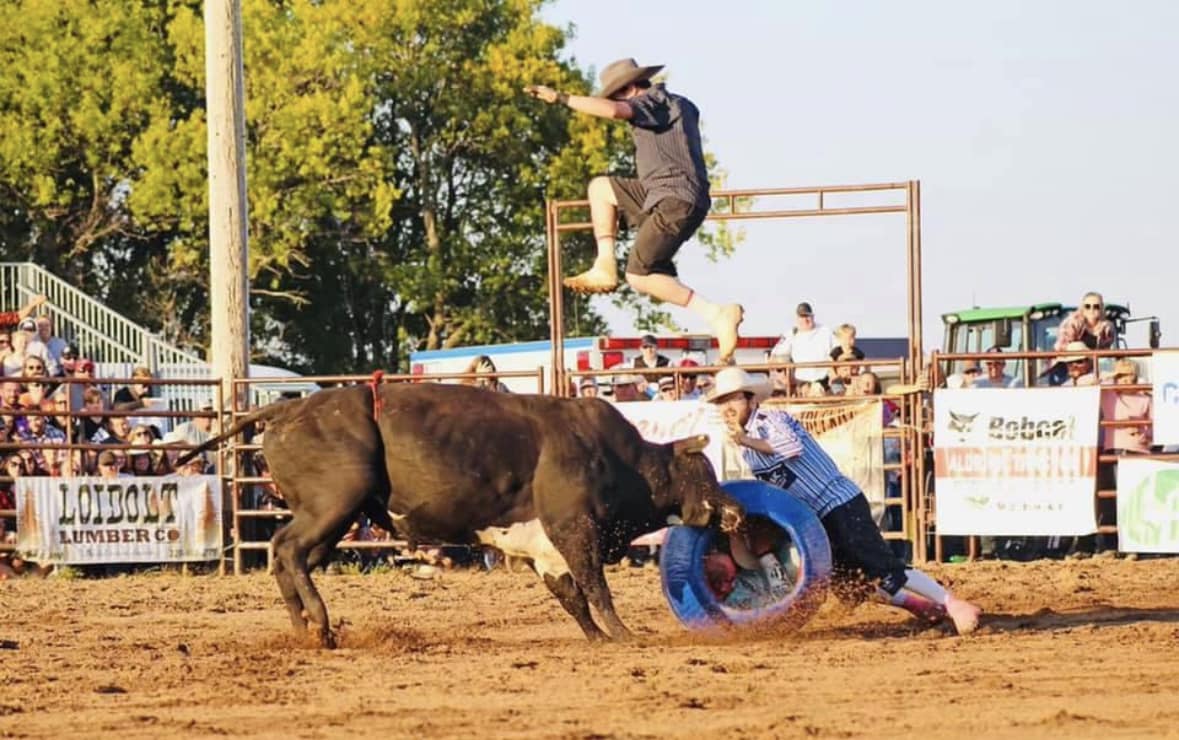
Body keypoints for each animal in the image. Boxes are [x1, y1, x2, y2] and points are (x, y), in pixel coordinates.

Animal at [179, 384, 740, 645]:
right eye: (705, 471)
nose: (734, 510)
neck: (625, 460)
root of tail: (285, 410)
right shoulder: (575, 528)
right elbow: (595, 587)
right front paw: (624, 635)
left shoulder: (544, 548)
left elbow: (573, 598)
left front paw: (598, 638)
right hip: (334, 504)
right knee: (289, 550)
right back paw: (319, 621)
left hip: (334, 516)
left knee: (285, 555)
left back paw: (305, 628)